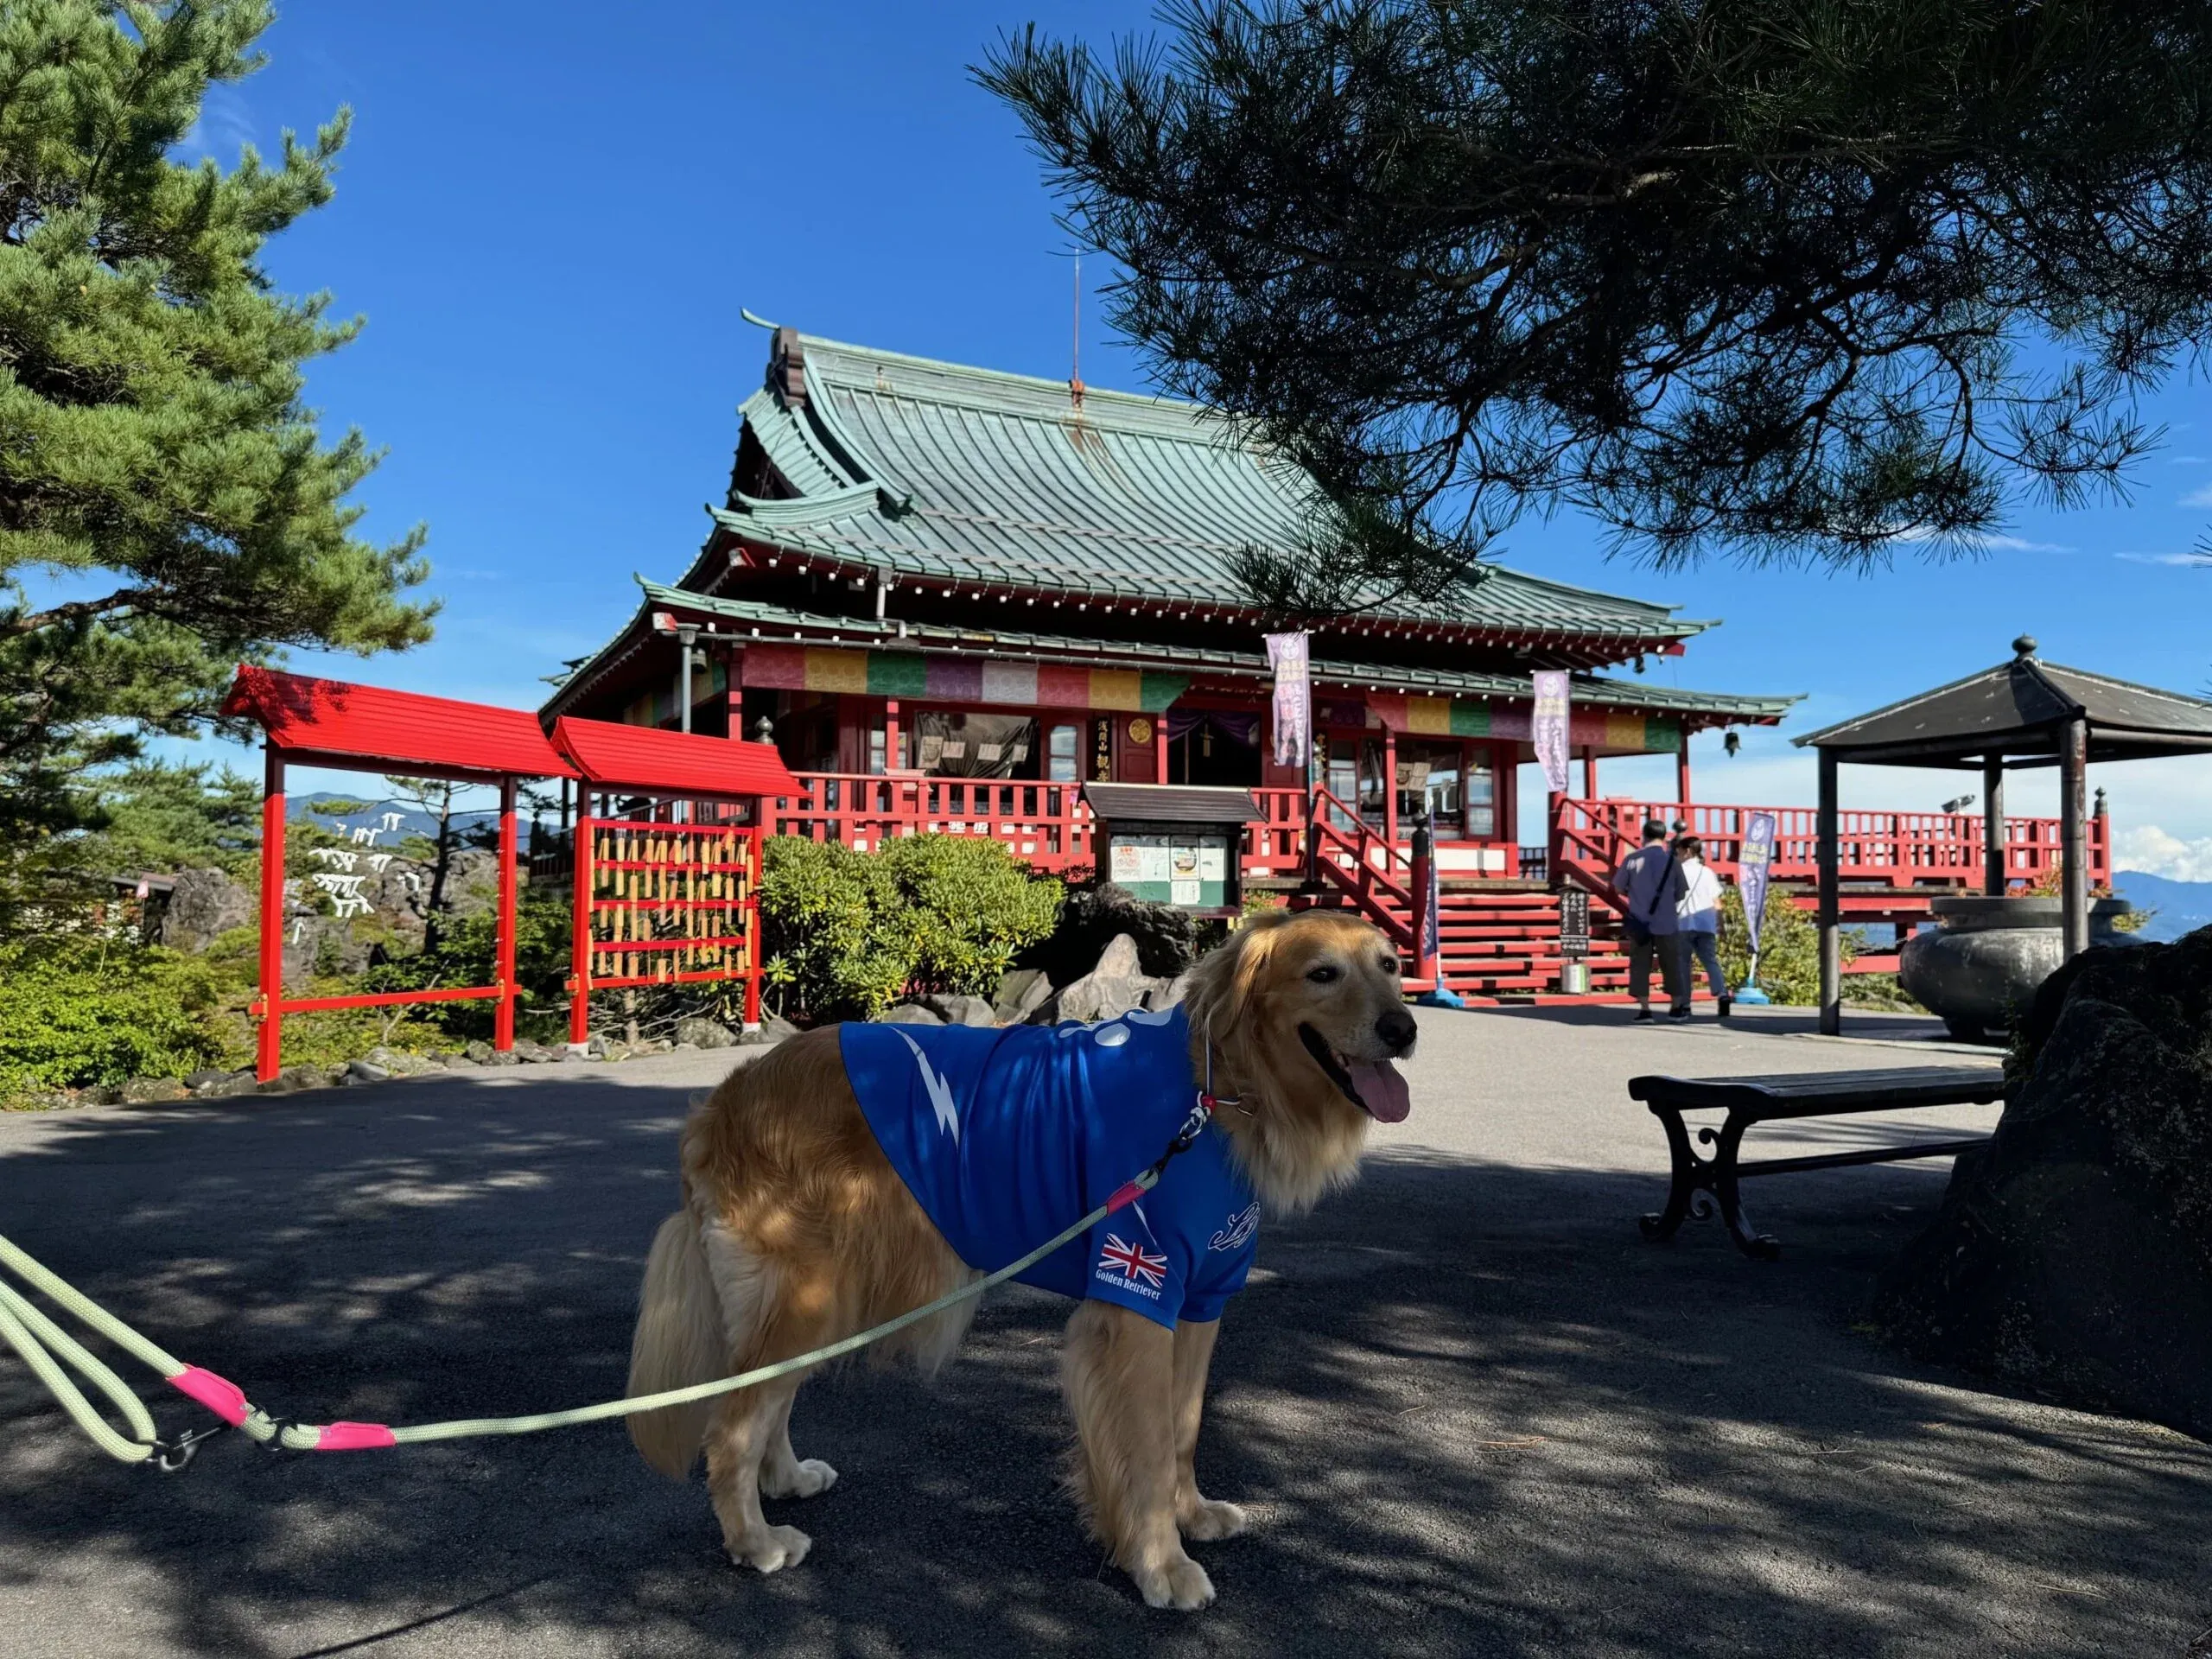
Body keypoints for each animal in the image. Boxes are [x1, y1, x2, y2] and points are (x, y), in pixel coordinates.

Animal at [623, 911, 1415, 1610]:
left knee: (769, 1400)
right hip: (807, 1295)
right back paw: (753, 1541)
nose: (1404, 1029)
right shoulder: (1138, 1289)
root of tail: (726, 1099)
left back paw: (783, 1479)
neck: (1215, 1089)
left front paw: (1191, 1516)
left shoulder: (1197, 1304)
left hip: (827, 1296)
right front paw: (1160, 1564)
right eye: (1322, 973)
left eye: (1391, 965)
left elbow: (1184, 1430)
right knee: (730, 1430)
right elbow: (1149, 1447)